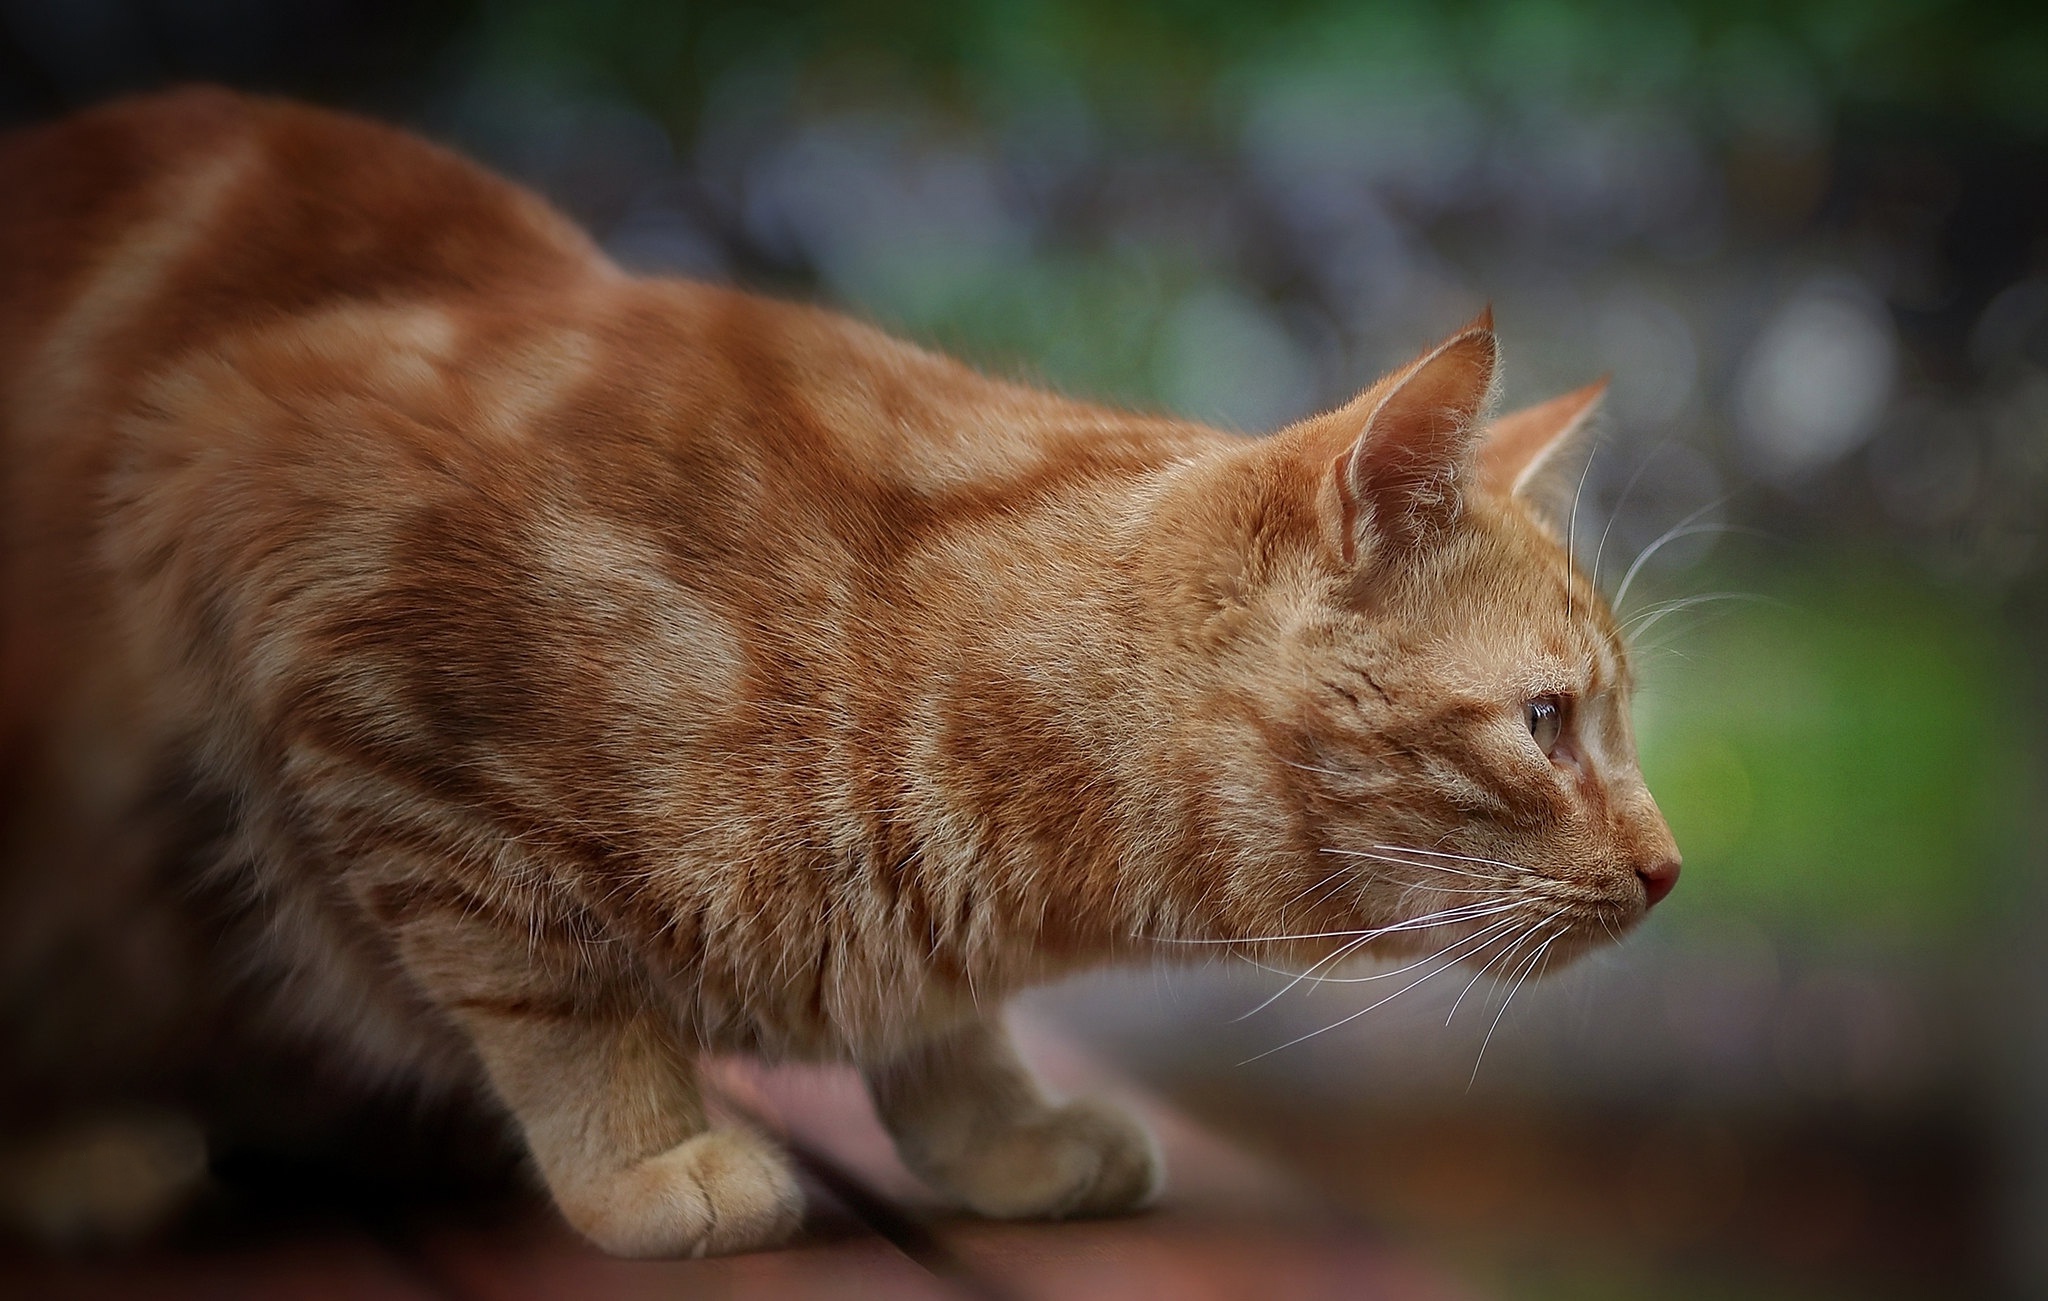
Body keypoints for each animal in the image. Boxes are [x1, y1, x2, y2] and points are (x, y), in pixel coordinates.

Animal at [0, 86, 1679, 1253]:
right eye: (1547, 724)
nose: (1671, 870)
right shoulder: (282, 557)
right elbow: (548, 986)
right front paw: (644, 1156)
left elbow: (942, 1031)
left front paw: (998, 1128)